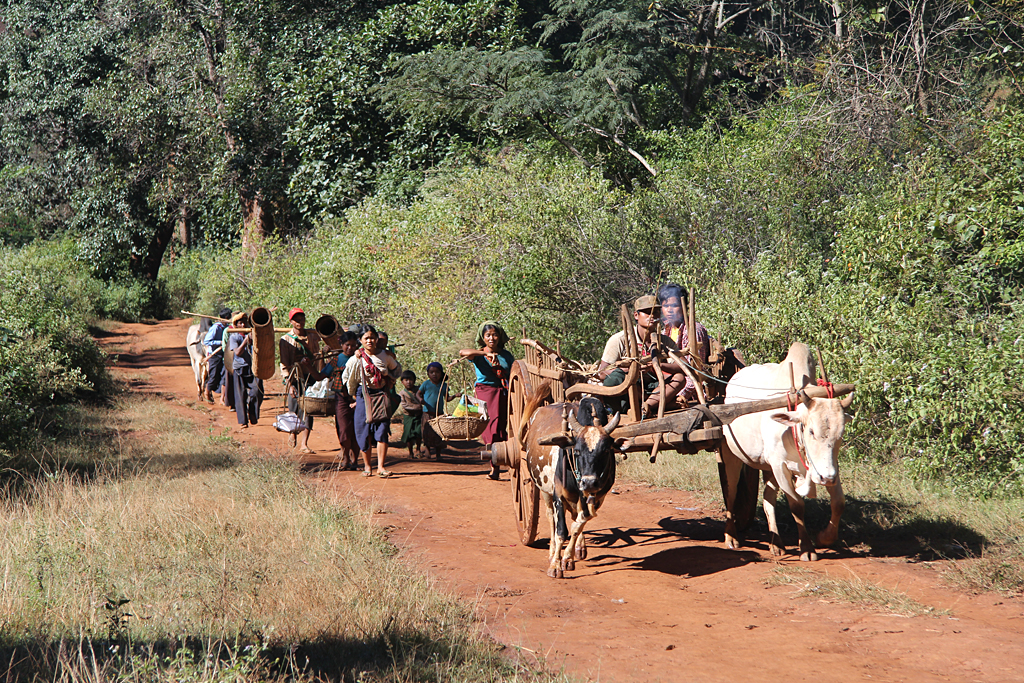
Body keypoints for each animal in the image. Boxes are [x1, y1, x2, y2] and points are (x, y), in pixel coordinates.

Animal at [720, 342, 856, 561]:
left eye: (841, 433)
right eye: (811, 431)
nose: (826, 478)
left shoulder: (828, 466)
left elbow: (839, 502)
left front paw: (824, 538)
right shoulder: (779, 466)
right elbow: (797, 505)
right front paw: (807, 549)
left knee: (768, 499)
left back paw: (777, 544)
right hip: (732, 455)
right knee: (730, 493)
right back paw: (731, 537)